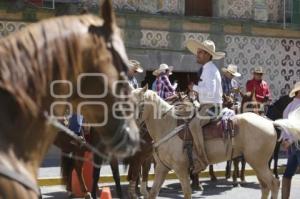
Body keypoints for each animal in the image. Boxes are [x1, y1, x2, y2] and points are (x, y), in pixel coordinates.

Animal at [0, 0, 139, 198]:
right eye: (123, 66)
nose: (132, 135)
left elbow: (115, 175)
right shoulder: (98, 152)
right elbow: (96, 174)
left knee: (77, 167)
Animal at [134, 87, 298, 199]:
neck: (167, 126)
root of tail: (270, 123)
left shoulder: (180, 169)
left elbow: (187, 193)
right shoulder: (162, 168)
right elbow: (153, 193)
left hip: (259, 163)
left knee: (273, 184)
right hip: (258, 163)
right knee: (265, 186)